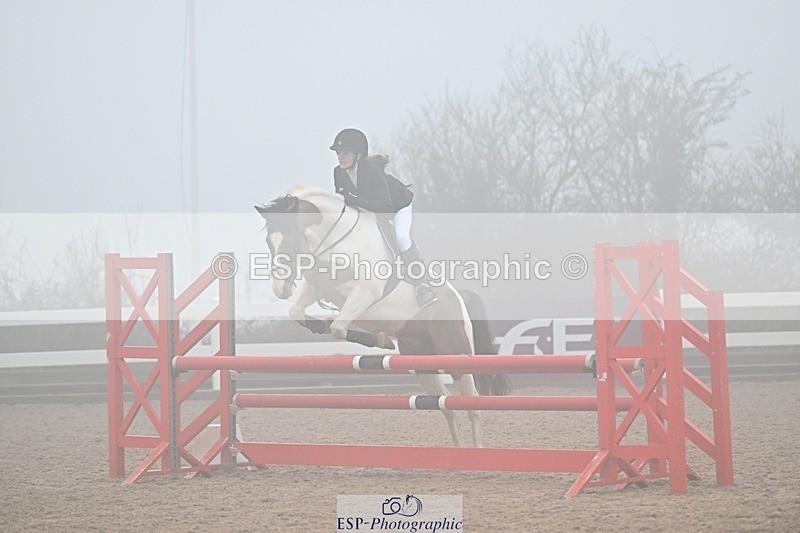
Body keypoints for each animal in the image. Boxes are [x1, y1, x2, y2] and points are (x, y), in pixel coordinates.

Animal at [255, 185, 511, 447]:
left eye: (289, 240)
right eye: (269, 242)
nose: (280, 290)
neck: (336, 239)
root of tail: (459, 299)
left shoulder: (365, 292)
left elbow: (338, 326)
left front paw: (380, 339)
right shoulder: (318, 288)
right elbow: (299, 312)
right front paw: (322, 326)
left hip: (456, 358)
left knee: (472, 406)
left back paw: (476, 449)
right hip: (423, 365)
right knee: (446, 405)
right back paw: (458, 449)